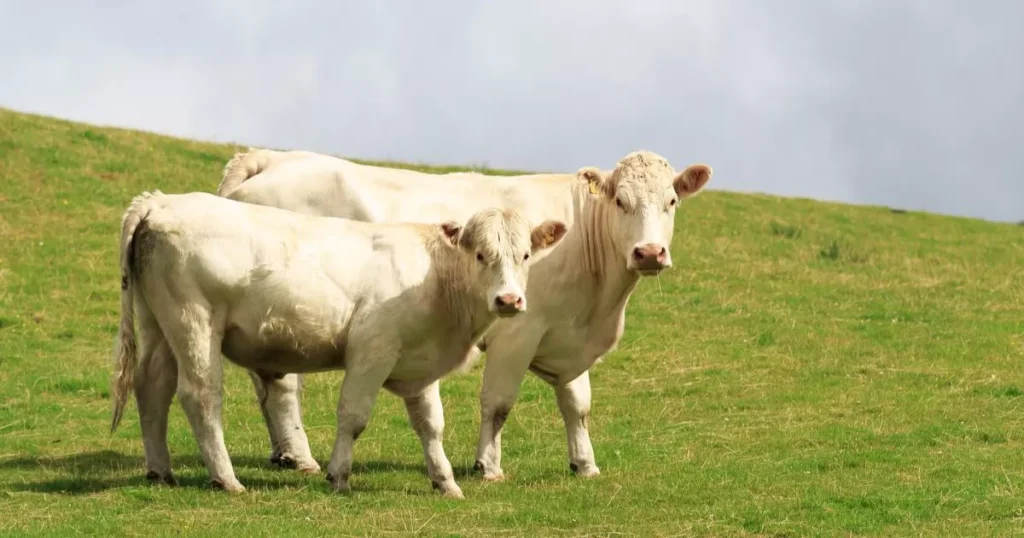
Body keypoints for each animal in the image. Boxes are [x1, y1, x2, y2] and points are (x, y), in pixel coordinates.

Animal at [110, 189, 569, 495]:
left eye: (525, 256)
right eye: (480, 255)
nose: (509, 300)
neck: (435, 277)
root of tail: (160, 201)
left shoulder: (420, 366)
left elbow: (431, 425)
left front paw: (445, 482)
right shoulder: (372, 350)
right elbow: (353, 416)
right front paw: (339, 475)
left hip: (159, 325)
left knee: (152, 387)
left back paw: (160, 471)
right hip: (195, 322)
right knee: (201, 396)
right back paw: (226, 479)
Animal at [216, 146, 712, 477]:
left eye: (671, 201)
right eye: (621, 202)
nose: (649, 252)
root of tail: (272, 158)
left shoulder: (566, 331)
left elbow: (577, 404)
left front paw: (584, 464)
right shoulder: (519, 331)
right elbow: (498, 402)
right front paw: (487, 465)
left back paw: (284, 453)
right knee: (283, 386)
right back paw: (301, 457)